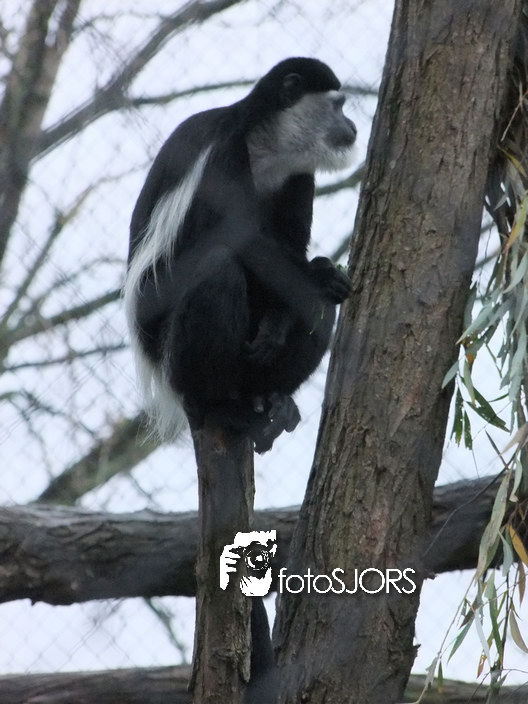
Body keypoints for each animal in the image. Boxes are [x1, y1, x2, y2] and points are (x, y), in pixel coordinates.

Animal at [124, 57, 356, 453]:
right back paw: (222, 407)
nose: (352, 127)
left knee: (319, 305)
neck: (265, 146)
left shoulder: (298, 174)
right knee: (219, 267)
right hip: (170, 355)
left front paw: (283, 316)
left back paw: (272, 400)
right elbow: (235, 235)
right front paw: (321, 273)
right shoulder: (222, 151)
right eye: (338, 106)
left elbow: (292, 251)